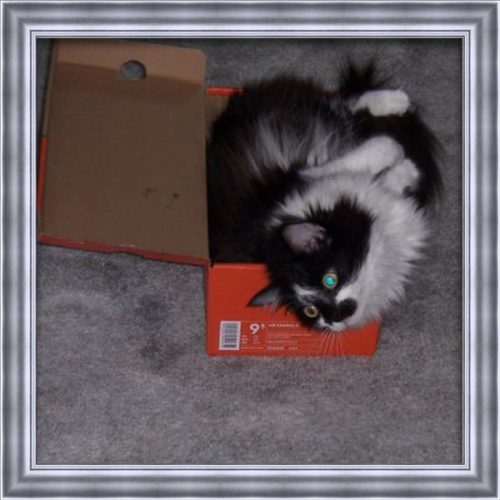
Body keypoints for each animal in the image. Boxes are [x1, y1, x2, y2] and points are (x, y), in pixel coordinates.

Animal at [206, 62, 442, 334]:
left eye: (330, 280)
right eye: (311, 311)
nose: (334, 317)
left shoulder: (306, 174)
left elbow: (379, 151)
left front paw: (401, 161)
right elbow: (385, 171)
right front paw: (407, 170)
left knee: (348, 103)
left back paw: (396, 100)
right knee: (348, 107)